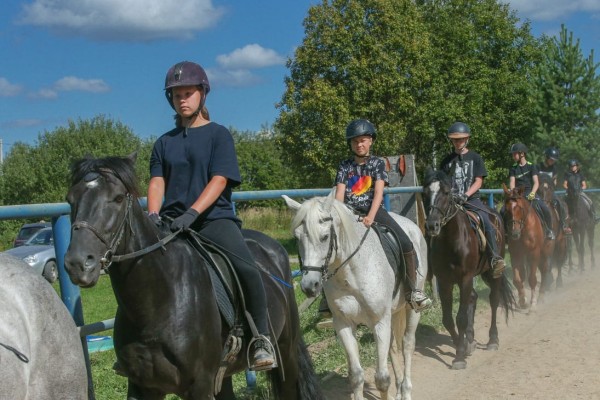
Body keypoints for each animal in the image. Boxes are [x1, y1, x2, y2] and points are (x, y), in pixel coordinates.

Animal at [63, 155, 324, 400]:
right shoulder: (141, 386)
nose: (78, 264)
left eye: (118, 198)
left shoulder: (199, 386)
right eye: (70, 199)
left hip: (286, 351)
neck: (158, 299)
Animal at [422, 168, 516, 368]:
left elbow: (461, 318)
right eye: (424, 193)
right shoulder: (445, 281)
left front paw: (459, 356)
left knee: (494, 300)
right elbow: (448, 319)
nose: (432, 225)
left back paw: (492, 340)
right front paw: (463, 345)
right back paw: (471, 339)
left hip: (492, 273)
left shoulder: (465, 278)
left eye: (446, 192)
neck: (452, 241)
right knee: (473, 298)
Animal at [502, 184, 552, 312]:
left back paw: (541, 297)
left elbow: (532, 279)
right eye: (506, 209)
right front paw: (522, 300)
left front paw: (533, 304)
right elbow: (517, 279)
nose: (514, 234)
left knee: (544, 271)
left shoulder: (534, 253)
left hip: (544, 252)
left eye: (519, 208)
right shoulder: (515, 254)